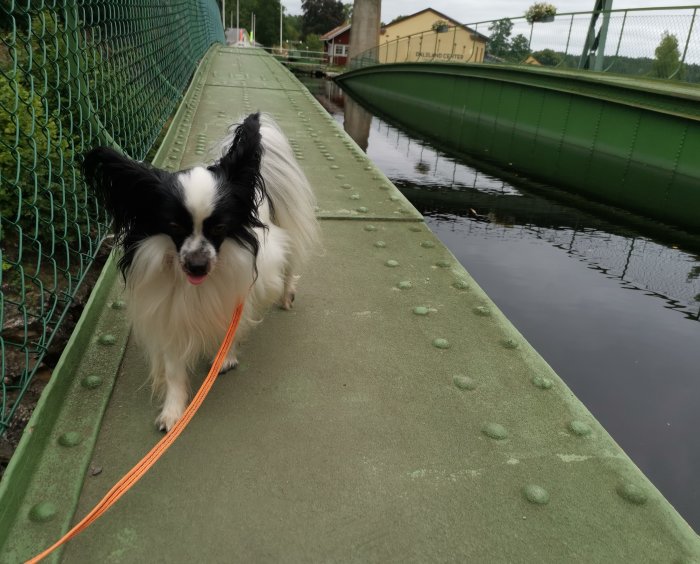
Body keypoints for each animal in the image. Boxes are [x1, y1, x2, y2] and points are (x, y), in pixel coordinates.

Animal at [82, 112, 320, 430]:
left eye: (219, 228)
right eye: (174, 226)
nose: (197, 265)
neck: (193, 287)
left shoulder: (236, 295)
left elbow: (231, 329)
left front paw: (225, 357)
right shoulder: (170, 315)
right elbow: (173, 370)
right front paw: (173, 410)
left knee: (287, 270)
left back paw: (286, 296)